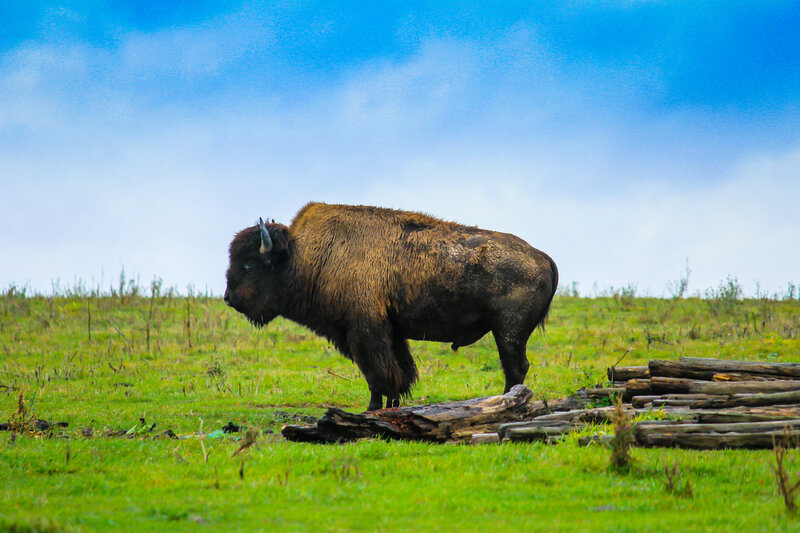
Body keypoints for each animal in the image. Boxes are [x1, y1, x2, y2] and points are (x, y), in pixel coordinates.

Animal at [224, 202, 558, 411]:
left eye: (250, 263)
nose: (229, 298)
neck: (303, 255)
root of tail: (542, 256)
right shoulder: (391, 331)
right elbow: (399, 371)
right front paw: (392, 404)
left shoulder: (364, 330)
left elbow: (376, 373)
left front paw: (372, 407)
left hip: (508, 332)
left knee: (515, 367)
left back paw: (505, 402)